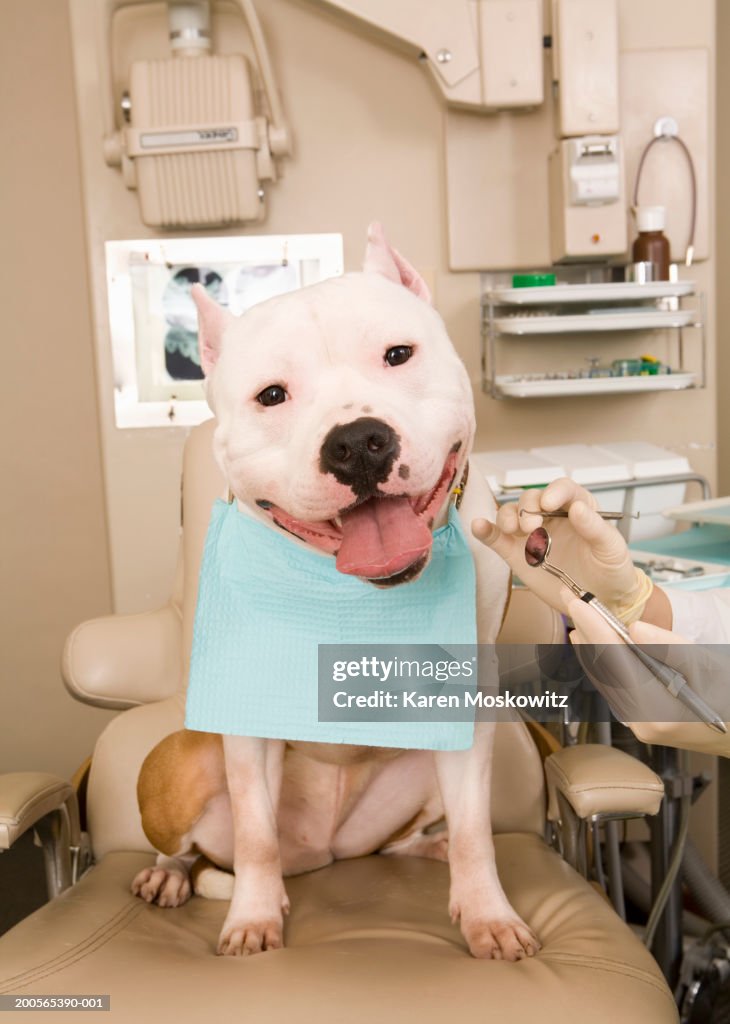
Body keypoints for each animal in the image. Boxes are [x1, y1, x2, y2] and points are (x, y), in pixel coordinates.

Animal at [132, 220, 540, 962]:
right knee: (201, 848)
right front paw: (253, 918)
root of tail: (323, 854)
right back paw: (170, 876)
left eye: (398, 355)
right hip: (179, 765)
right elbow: (256, 837)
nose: (358, 441)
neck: (354, 597)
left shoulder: (465, 704)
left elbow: (476, 831)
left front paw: (486, 914)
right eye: (271, 395)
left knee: (412, 836)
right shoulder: (247, 718)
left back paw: (432, 848)